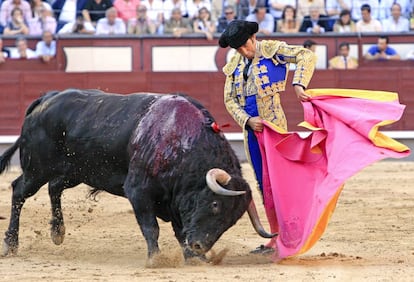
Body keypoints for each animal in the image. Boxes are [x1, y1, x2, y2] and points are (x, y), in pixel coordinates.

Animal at [0, 89, 274, 262]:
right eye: (215, 204)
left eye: (233, 221)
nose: (200, 246)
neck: (182, 143)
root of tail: (47, 98)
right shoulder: (138, 192)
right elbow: (151, 227)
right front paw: (156, 259)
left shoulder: (175, 201)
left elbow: (180, 230)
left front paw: (192, 258)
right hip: (37, 169)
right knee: (19, 191)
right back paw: (11, 244)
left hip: (75, 171)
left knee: (54, 187)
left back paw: (57, 232)